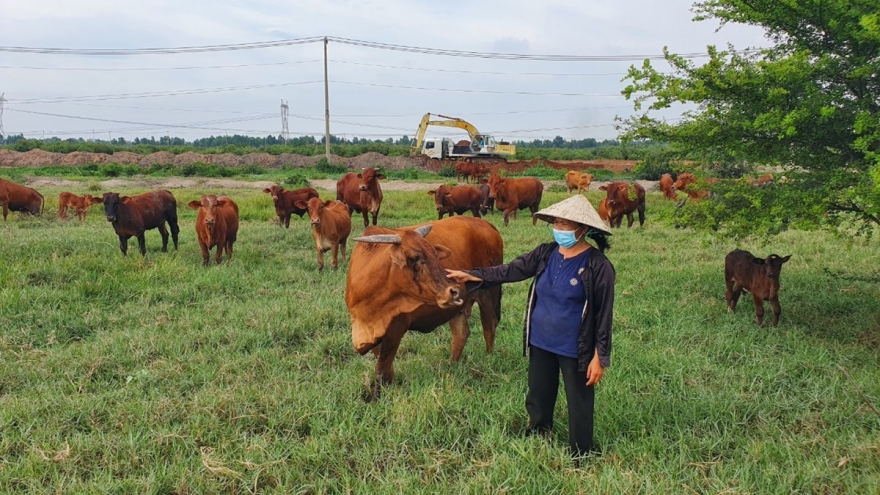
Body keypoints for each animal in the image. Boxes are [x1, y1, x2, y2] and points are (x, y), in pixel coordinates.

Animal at [348, 216, 506, 388]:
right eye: (414, 258)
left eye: (435, 255)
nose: (455, 291)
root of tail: (485, 224)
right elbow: (383, 364)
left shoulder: (396, 327)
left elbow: (383, 367)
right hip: (457, 308)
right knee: (461, 333)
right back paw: (451, 366)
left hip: (488, 293)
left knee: (489, 327)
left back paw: (488, 359)